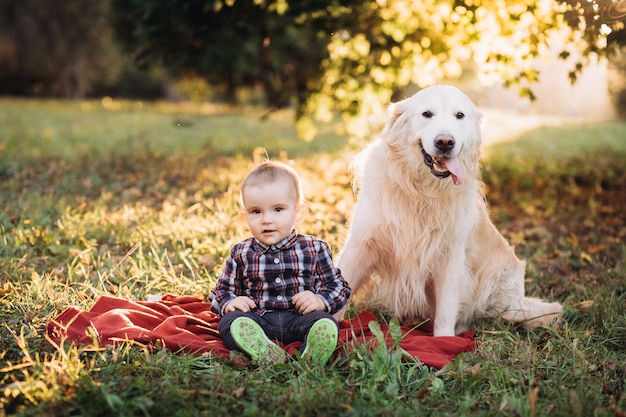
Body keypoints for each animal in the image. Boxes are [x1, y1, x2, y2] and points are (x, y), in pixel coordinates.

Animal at [336, 84, 560, 334]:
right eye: (427, 114)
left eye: (459, 115)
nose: (445, 142)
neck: (423, 193)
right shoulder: (361, 243)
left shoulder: (450, 256)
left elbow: (445, 311)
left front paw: (444, 339)